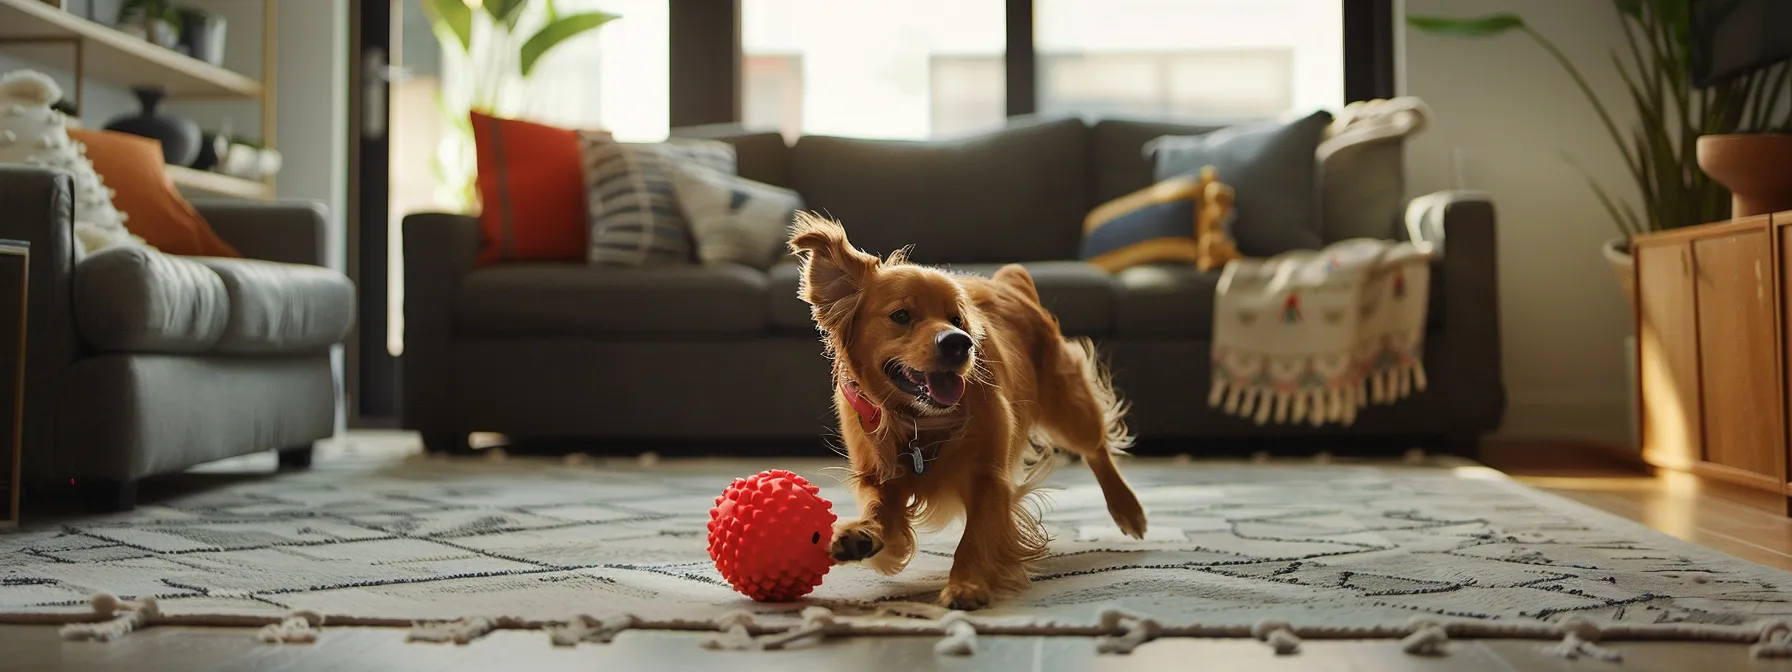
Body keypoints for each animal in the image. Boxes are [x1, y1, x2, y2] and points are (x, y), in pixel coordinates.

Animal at [784, 213, 1146, 612]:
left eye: (957, 319)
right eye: (901, 315)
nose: (959, 342)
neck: (919, 421)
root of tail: (1009, 284)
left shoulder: (989, 476)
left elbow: (975, 537)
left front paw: (967, 585)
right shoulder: (878, 477)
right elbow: (879, 511)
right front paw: (861, 535)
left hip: (1069, 407)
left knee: (1096, 449)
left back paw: (1128, 510)